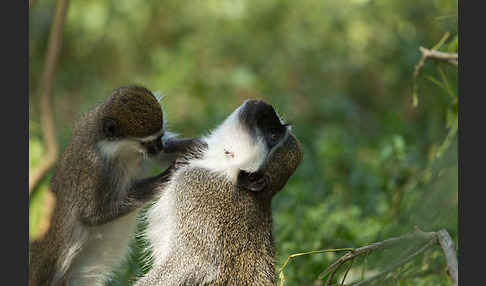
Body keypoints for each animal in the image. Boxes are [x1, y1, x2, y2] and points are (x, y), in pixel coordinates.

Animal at [28, 85, 196, 286]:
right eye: (147, 143)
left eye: (160, 138)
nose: (159, 147)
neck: (117, 150)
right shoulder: (93, 169)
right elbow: (92, 215)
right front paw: (165, 177)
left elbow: (161, 157)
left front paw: (196, 145)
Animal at [133, 99, 300, 284]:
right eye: (275, 126)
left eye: (273, 134)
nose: (265, 107)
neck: (221, 168)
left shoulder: (193, 185)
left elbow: (195, 264)